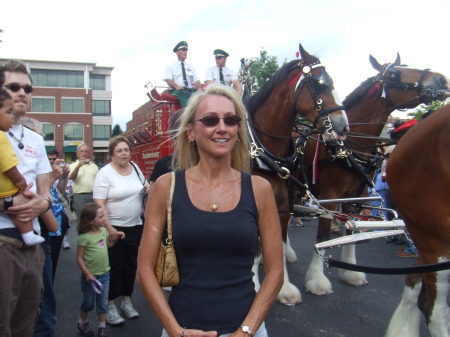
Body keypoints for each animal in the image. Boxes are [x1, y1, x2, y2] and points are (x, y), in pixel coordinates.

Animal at [246, 44, 348, 304]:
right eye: (321, 84)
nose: (343, 127)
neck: (264, 153)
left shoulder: (283, 205)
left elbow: (279, 245)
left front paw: (283, 288)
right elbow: (254, 249)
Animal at [298, 53, 450, 294]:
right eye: (395, 73)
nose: (442, 80)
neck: (348, 146)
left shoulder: (357, 196)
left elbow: (351, 231)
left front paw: (351, 272)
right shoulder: (331, 195)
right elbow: (324, 234)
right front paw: (317, 280)